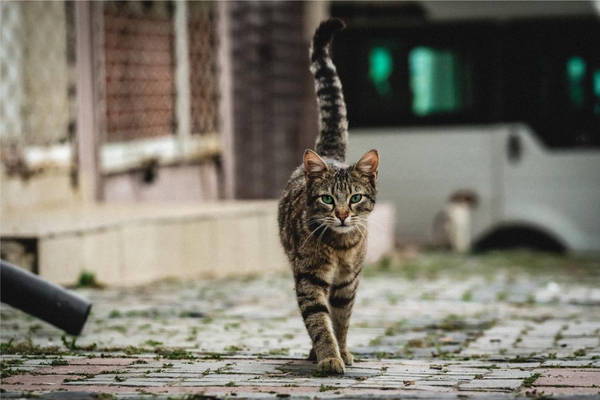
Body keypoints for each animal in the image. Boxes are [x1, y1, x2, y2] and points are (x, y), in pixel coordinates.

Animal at [278, 18, 380, 376]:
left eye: (355, 198)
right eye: (327, 199)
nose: (342, 214)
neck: (340, 247)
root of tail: (329, 155)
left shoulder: (348, 284)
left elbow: (341, 320)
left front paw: (343, 351)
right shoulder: (309, 278)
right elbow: (318, 322)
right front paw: (329, 357)